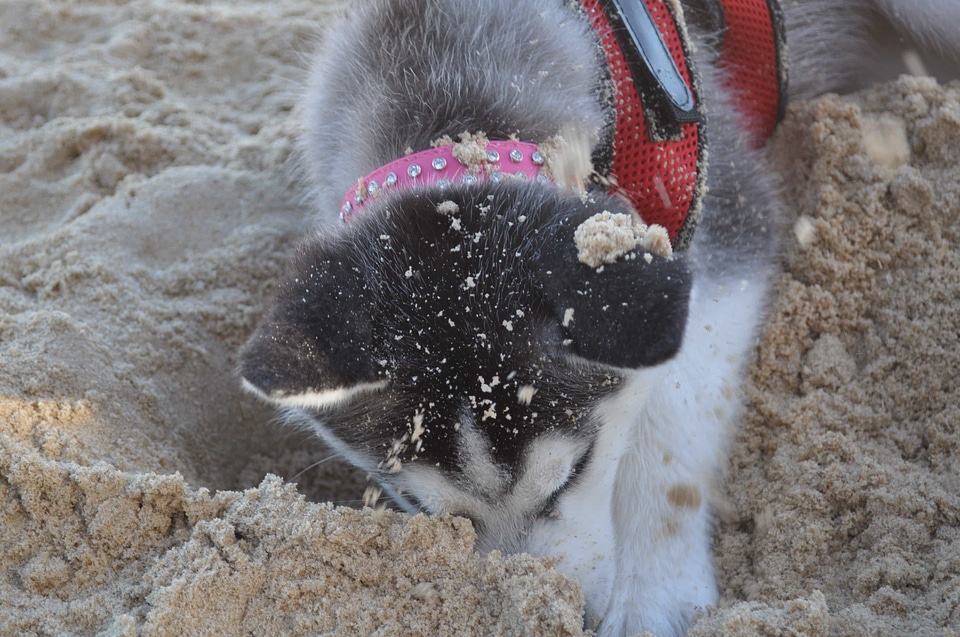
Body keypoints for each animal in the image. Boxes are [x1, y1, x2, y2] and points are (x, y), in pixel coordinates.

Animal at [238, 2, 952, 632]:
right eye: (424, 509)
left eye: (573, 475)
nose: (564, 614)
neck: (453, 113)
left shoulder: (728, 228)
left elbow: (673, 428)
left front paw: (655, 595)